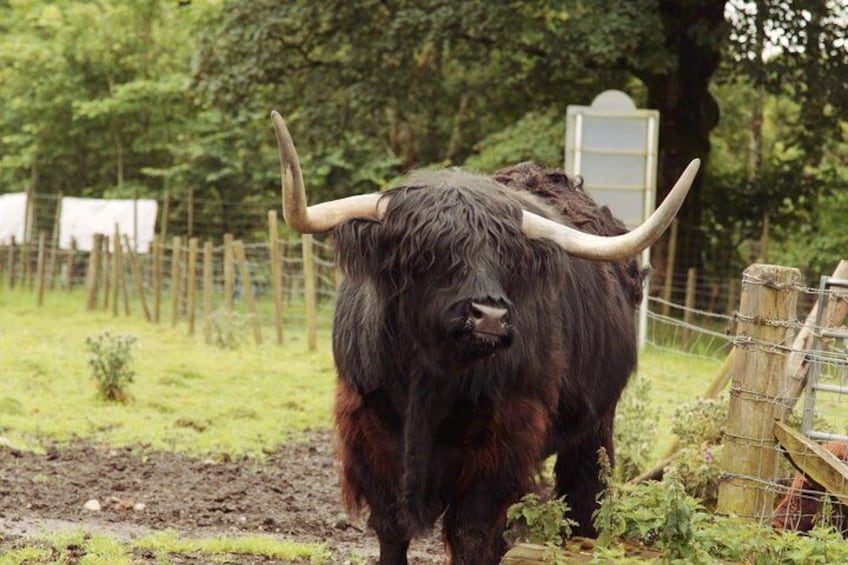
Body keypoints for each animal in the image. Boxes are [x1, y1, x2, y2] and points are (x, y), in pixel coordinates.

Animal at [268, 111, 700, 564]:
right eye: (426, 253)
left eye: (508, 257)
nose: (490, 316)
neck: (430, 377)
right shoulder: (368, 429)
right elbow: (391, 527)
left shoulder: (503, 440)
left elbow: (473, 533)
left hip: (596, 423)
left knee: (584, 495)